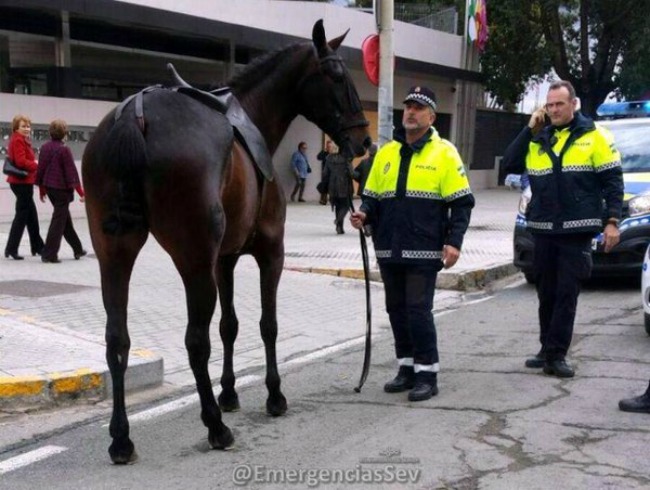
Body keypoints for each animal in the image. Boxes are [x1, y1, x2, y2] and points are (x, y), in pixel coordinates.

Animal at [82, 19, 371, 464]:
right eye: (337, 75)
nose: (364, 143)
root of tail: (135, 112)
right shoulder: (270, 252)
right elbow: (266, 325)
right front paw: (272, 395)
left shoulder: (226, 260)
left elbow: (230, 326)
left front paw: (230, 392)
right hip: (192, 261)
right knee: (195, 341)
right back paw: (215, 426)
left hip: (115, 254)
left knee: (118, 340)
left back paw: (121, 438)